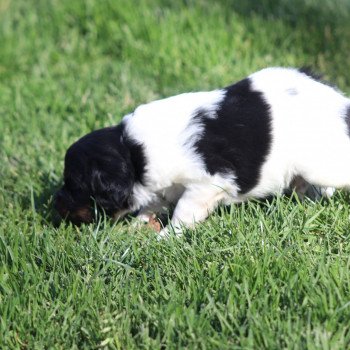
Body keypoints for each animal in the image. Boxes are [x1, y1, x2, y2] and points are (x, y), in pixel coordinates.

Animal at [54, 67, 350, 238]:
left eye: (74, 185)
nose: (53, 205)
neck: (133, 152)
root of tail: (339, 101)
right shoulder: (163, 186)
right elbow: (152, 205)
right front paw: (139, 224)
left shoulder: (207, 184)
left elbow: (183, 211)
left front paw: (166, 237)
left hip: (323, 163)